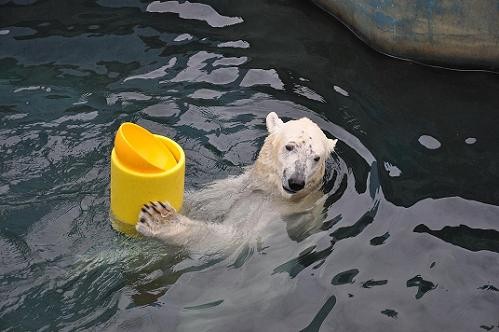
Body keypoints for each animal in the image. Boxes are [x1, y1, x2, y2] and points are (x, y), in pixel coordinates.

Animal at [135, 112, 338, 254]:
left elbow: (233, 237)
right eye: (290, 146)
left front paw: (159, 219)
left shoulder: (276, 213)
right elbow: (206, 200)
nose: (296, 181)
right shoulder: (244, 186)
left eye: (316, 158)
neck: (273, 193)